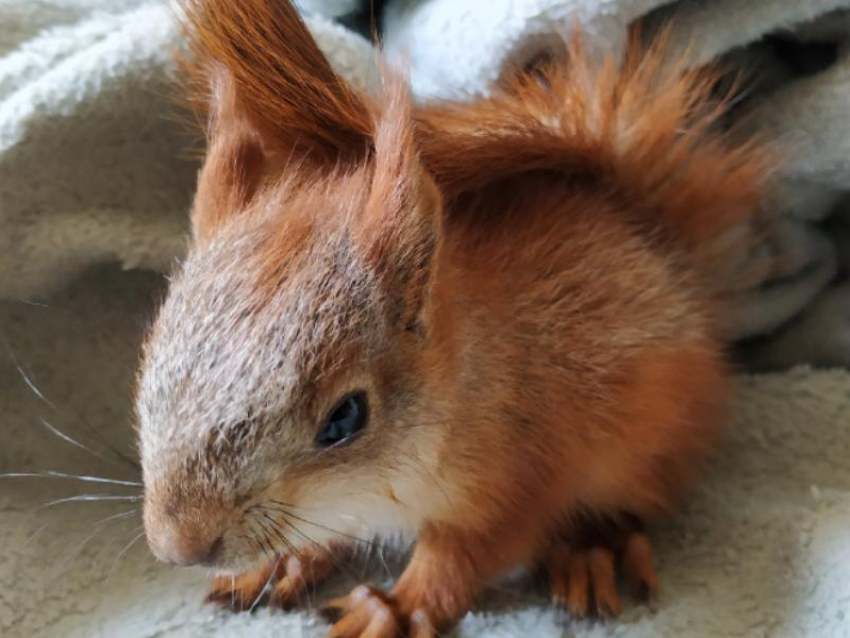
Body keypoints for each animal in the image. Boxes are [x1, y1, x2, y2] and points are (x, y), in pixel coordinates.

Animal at [136, 1, 764, 638]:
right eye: (151, 361)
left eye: (345, 418)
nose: (179, 547)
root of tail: (663, 252)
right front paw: (284, 562)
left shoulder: (516, 473)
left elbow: (461, 558)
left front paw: (390, 609)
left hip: (645, 448)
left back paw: (592, 548)